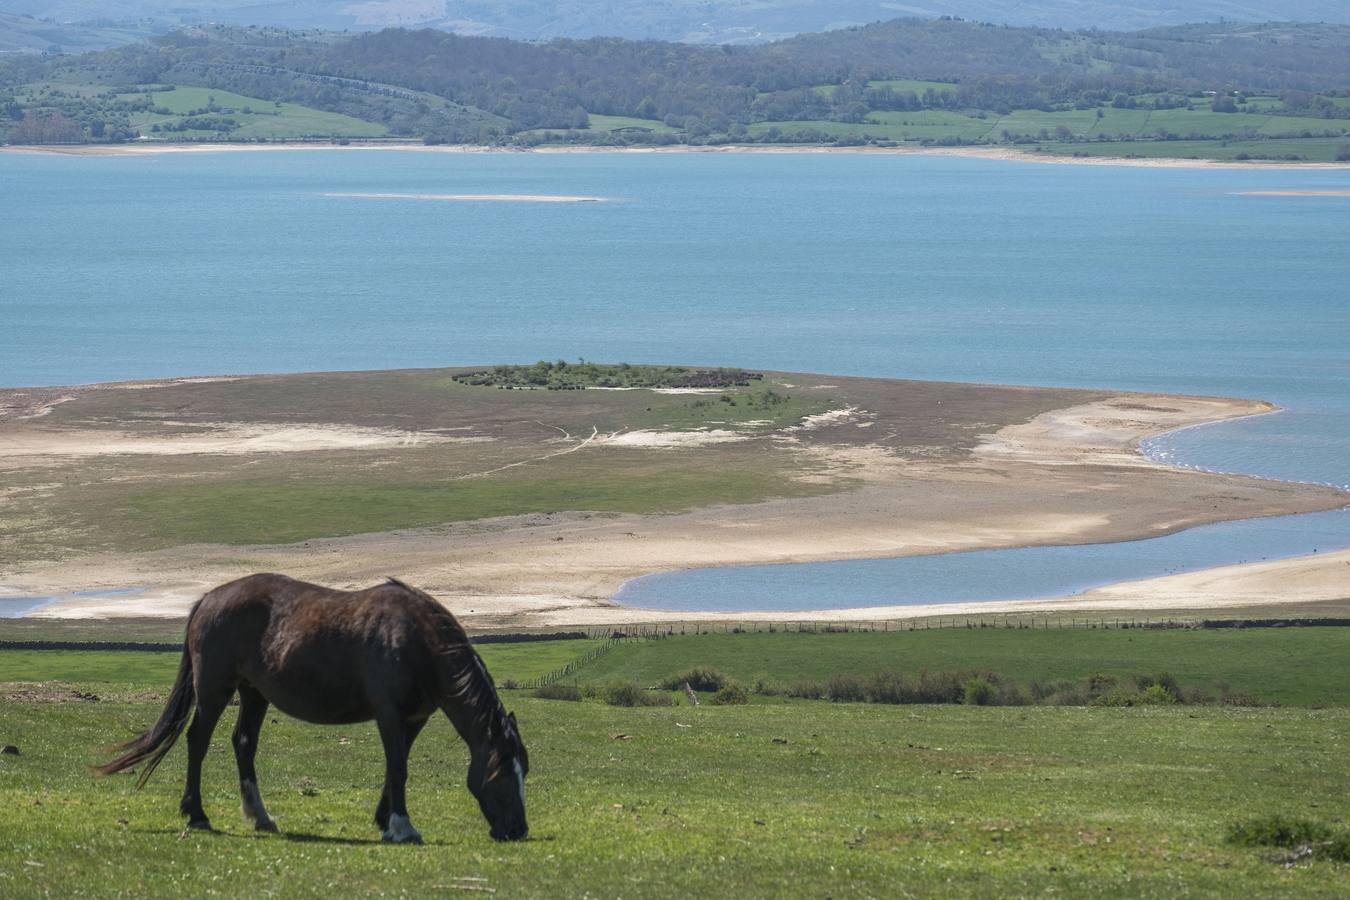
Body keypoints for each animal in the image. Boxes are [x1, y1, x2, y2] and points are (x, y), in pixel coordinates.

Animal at [93, 577, 526, 847]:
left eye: (524, 771)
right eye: (501, 774)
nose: (518, 830)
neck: (418, 642)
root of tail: (209, 599)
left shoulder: (415, 718)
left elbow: (395, 766)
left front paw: (384, 819)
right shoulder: (389, 713)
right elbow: (399, 767)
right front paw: (402, 828)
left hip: (254, 694)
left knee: (243, 745)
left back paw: (261, 817)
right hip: (215, 690)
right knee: (197, 742)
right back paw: (197, 814)